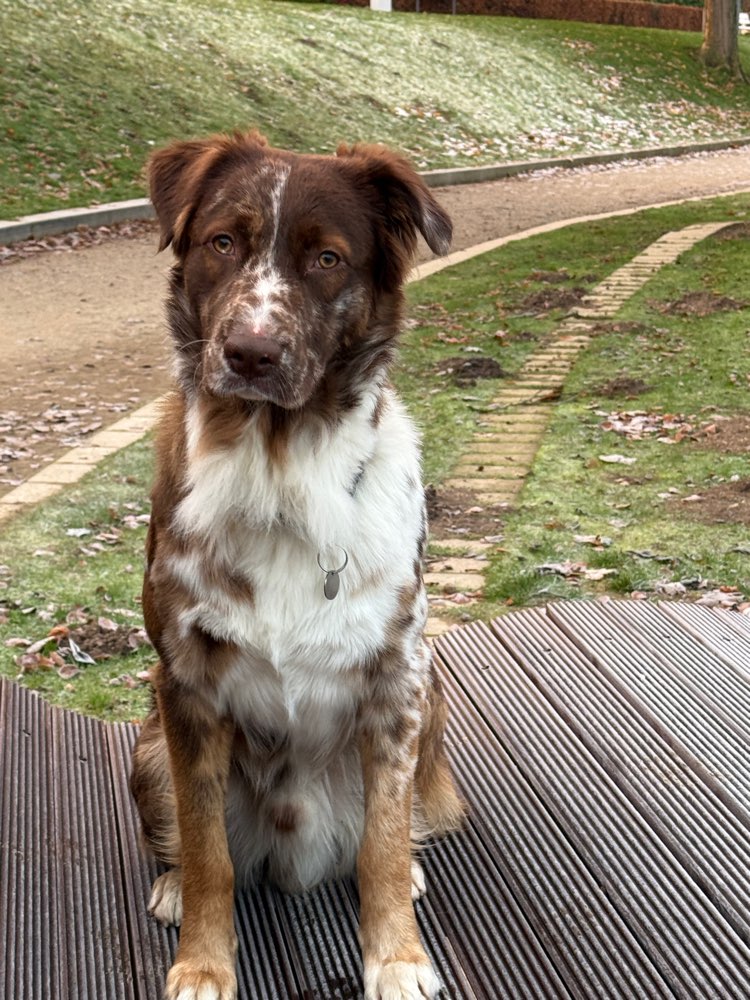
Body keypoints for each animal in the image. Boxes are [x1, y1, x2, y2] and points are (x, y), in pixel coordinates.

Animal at [132, 131, 468, 1000]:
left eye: (326, 258)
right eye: (223, 242)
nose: (250, 352)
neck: (279, 476)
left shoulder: (398, 683)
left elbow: (382, 840)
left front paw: (398, 956)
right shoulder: (184, 686)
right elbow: (209, 847)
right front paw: (203, 963)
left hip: (434, 711)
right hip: (147, 750)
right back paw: (171, 884)